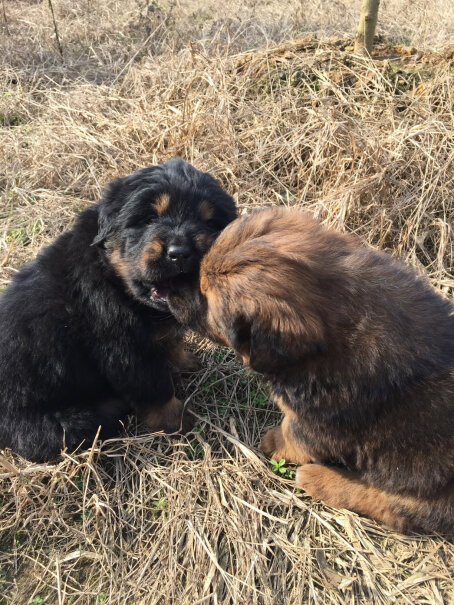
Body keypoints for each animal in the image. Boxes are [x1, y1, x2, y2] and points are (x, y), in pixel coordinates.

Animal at [0, 158, 236, 460]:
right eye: (148, 218)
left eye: (209, 222)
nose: (180, 253)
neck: (115, 282)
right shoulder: (126, 352)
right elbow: (156, 389)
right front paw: (179, 421)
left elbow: (172, 343)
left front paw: (186, 363)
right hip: (61, 423)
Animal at [168, 208, 454, 532]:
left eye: (206, 298)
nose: (166, 289)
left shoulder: (316, 422)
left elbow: (292, 434)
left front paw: (273, 442)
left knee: (393, 506)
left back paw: (317, 478)